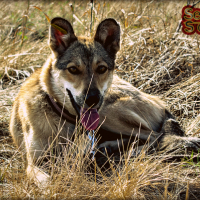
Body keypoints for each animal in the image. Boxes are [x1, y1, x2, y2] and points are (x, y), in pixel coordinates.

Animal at [9, 16, 200, 184]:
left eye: (101, 69)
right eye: (73, 69)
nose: (93, 99)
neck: (62, 117)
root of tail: (157, 100)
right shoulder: (34, 164)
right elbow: (46, 182)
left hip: (110, 112)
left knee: (157, 136)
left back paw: (127, 153)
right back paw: (109, 148)